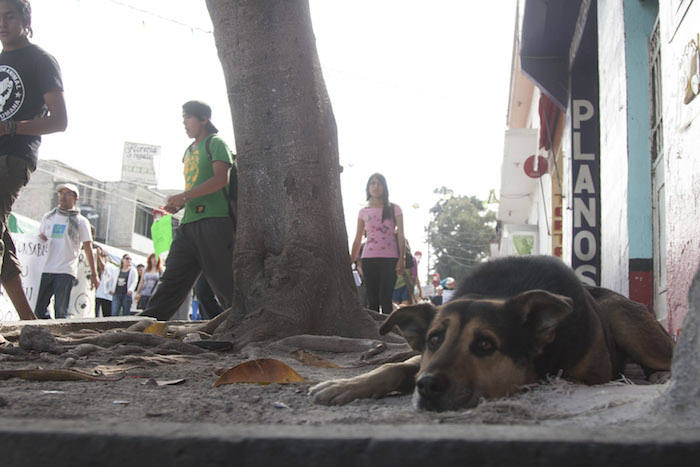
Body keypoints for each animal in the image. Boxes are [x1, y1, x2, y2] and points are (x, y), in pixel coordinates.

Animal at [310, 256, 672, 414]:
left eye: (486, 345)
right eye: (434, 340)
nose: (426, 387)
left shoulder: (591, 375)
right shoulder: (423, 358)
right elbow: (393, 366)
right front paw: (344, 386)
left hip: (622, 318)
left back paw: (662, 375)